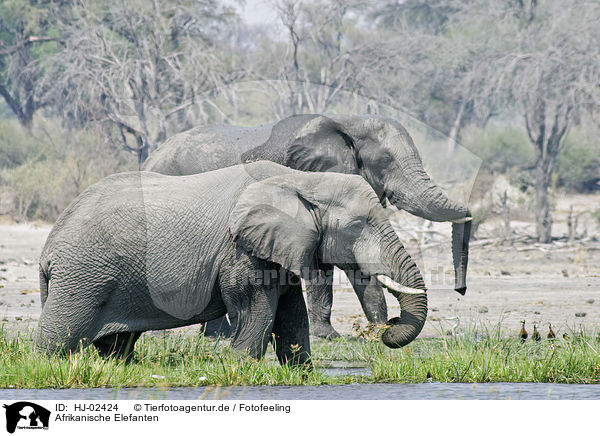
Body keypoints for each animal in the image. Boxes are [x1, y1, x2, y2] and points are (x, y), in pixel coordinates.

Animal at [36, 161, 426, 364]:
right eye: (359, 224)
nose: (388, 325)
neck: (299, 179)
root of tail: (48, 249)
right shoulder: (240, 250)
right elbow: (257, 310)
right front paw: (239, 370)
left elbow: (291, 313)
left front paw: (301, 374)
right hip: (83, 275)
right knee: (58, 337)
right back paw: (44, 365)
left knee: (116, 343)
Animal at [143, 114, 472, 338]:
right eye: (385, 160)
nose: (461, 290)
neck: (349, 121)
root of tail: (151, 156)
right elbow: (320, 266)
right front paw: (329, 337)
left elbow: (354, 264)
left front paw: (376, 329)